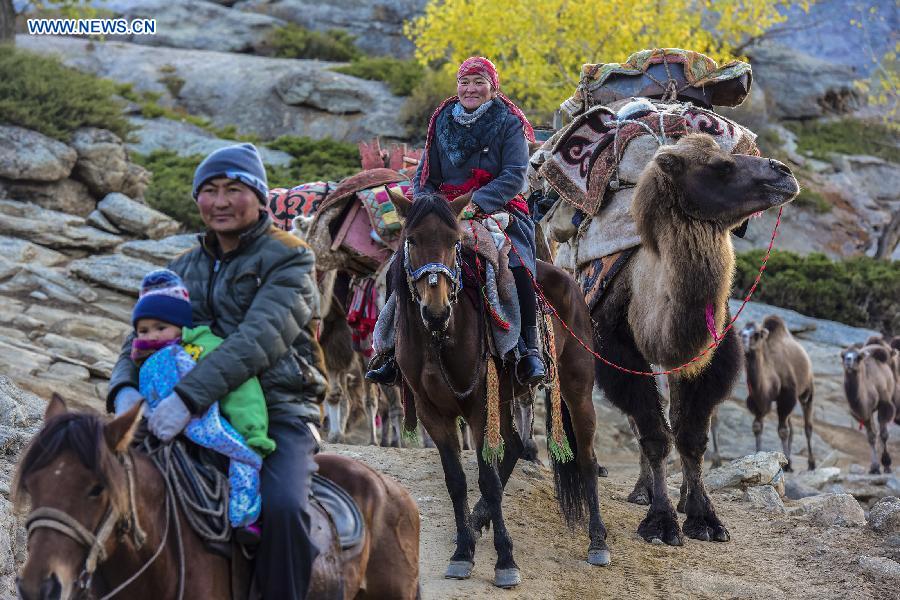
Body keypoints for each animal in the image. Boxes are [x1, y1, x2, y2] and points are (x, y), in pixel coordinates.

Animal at [390, 192, 608, 592]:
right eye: (411, 240)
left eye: (455, 242)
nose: (436, 311)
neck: (439, 340)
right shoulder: (433, 413)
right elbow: (457, 481)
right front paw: (463, 552)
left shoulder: (478, 407)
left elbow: (487, 480)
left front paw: (505, 561)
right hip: (506, 398)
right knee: (516, 446)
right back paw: (477, 522)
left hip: (577, 386)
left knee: (585, 456)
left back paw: (598, 542)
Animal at [596, 134, 800, 548]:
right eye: (720, 166)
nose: (784, 171)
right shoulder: (616, 349)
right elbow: (655, 435)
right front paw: (661, 522)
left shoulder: (711, 355)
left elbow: (690, 436)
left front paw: (704, 517)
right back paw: (639, 491)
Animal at [740, 316, 816, 472]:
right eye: (741, 332)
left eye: (756, 334)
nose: (743, 338)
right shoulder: (758, 401)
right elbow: (757, 426)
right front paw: (758, 455)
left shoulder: (787, 396)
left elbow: (782, 430)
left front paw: (787, 465)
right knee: (791, 427)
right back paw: (791, 459)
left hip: (807, 388)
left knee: (807, 426)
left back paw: (811, 463)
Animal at [840, 342, 896, 474]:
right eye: (843, 356)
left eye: (858, 357)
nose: (848, 360)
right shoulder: (864, 413)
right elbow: (871, 437)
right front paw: (874, 467)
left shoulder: (884, 404)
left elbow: (884, 434)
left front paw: (887, 465)